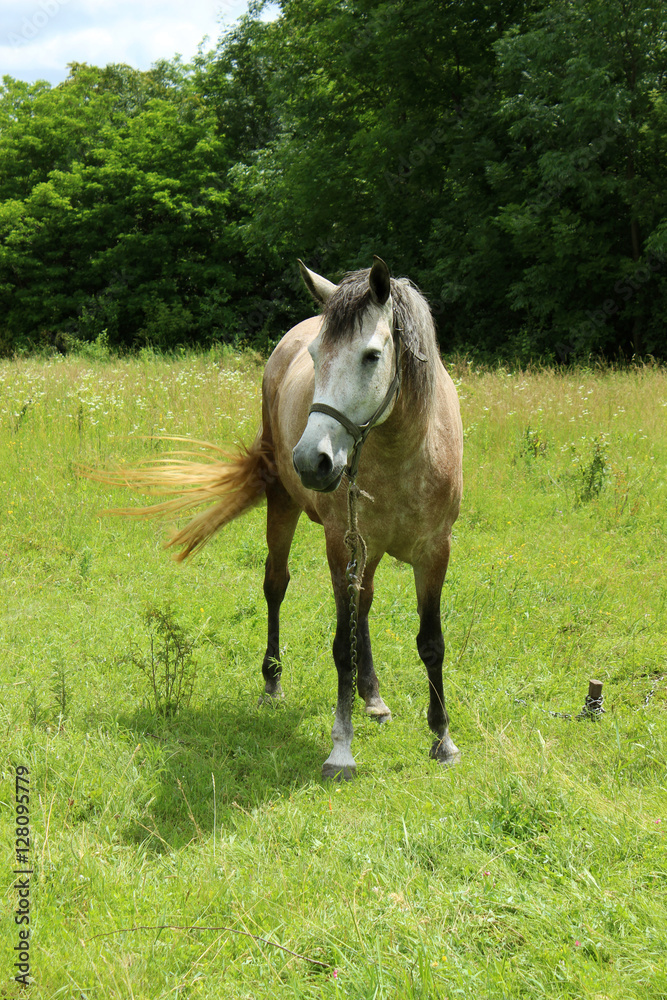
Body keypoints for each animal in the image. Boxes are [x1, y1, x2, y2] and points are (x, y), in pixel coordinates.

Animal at [92, 257, 463, 780]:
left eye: (372, 356)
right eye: (316, 354)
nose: (311, 461)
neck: (404, 451)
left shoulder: (435, 551)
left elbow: (431, 643)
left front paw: (442, 739)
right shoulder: (342, 544)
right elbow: (340, 646)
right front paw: (341, 749)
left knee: (364, 605)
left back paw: (372, 697)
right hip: (286, 507)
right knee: (276, 585)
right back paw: (273, 682)